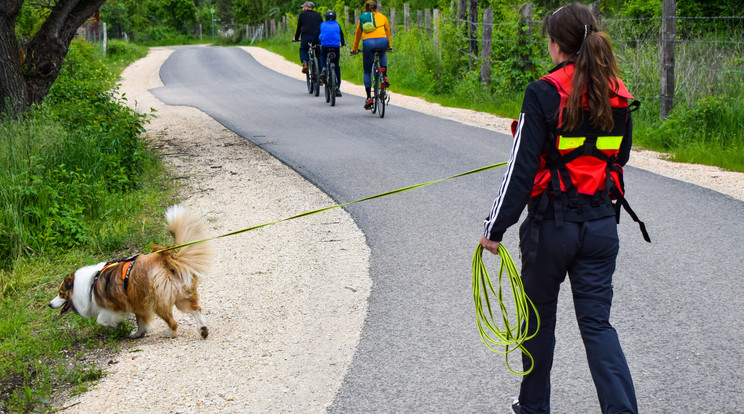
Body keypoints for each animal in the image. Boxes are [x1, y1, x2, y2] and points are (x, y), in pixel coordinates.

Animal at [48, 205, 214, 340]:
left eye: (61, 293)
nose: (49, 304)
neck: (88, 284)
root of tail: (165, 257)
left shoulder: (112, 306)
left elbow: (102, 319)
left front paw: (116, 325)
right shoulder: (138, 303)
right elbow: (140, 322)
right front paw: (138, 333)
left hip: (159, 302)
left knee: (173, 322)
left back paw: (171, 333)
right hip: (181, 295)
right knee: (195, 309)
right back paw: (203, 329)